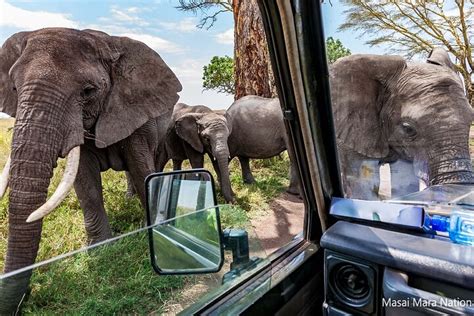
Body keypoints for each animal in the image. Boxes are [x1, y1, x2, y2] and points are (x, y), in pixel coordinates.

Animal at [0, 27, 181, 314]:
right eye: (15, 88)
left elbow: (141, 168)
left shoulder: (135, 109)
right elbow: (85, 182)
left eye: (88, 91)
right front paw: (101, 250)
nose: (27, 296)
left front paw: (154, 231)